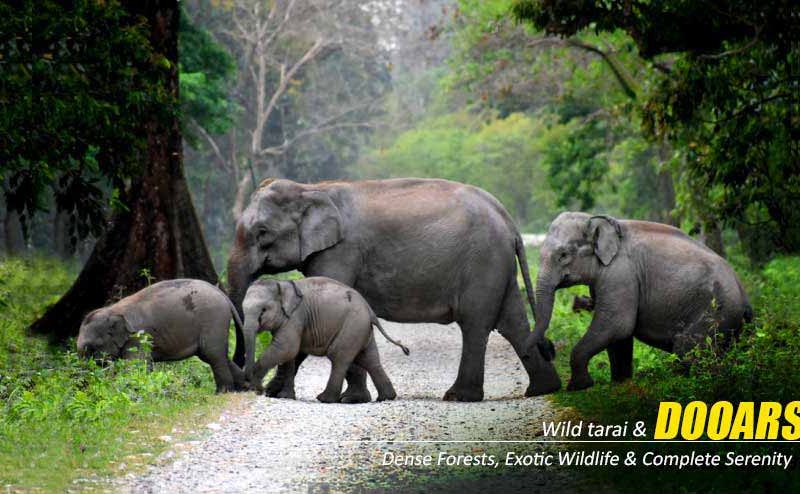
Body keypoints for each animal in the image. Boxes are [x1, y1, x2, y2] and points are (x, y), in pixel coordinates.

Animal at [76, 279, 246, 393]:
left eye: (92, 347)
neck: (113, 309)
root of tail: (223, 295)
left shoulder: (138, 338)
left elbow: (135, 365)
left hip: (213, 319)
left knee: (213, 355)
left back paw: (223, 392)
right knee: (216, 355)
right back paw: (245, 387)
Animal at [242, 277, 409, 403]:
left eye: (263, 310)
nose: (258, 390)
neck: (281, 284)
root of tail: (370, 310)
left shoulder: (296, 317)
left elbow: (286, 348)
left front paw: (257, 388)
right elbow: (290, 355)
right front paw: (285, 397)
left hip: (352, 325)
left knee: (338, 357)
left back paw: (326, 399)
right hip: (361, 328)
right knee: (369, 360)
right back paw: (386, 397)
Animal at [528, 212, 753, 391]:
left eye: (563, 255)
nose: (549, 348)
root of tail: (744, 293)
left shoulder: (620, 274)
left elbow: (617, 325)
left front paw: (578, 386)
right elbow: (618, 336)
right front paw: (619, 384)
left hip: (717, 311)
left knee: (686, 348)